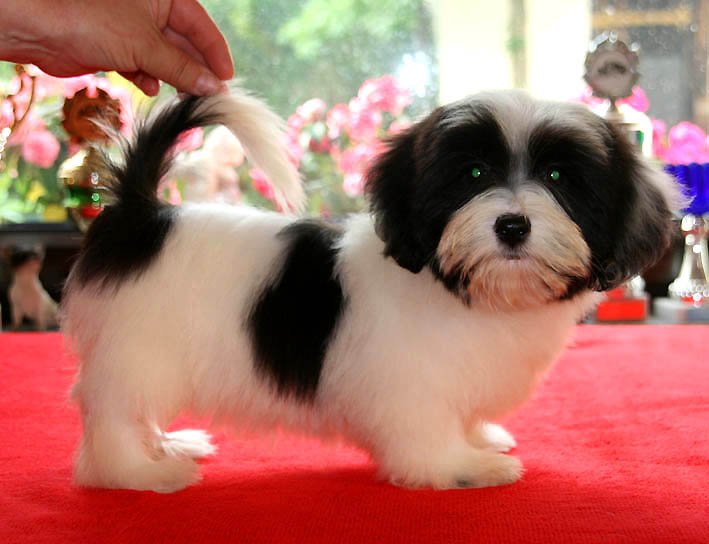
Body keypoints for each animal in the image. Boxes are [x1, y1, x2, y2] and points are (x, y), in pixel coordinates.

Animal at [63, 87, 682, 492]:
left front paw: (478, 440)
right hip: (140, 344)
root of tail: (142, 216)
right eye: (474, 174)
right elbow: (426, 434)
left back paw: (164, 445)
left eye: (558, 178)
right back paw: (139, 470)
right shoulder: (410, 384)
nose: (512, 225)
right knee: (114, 413)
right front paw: (463, 466)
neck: (463, 290)